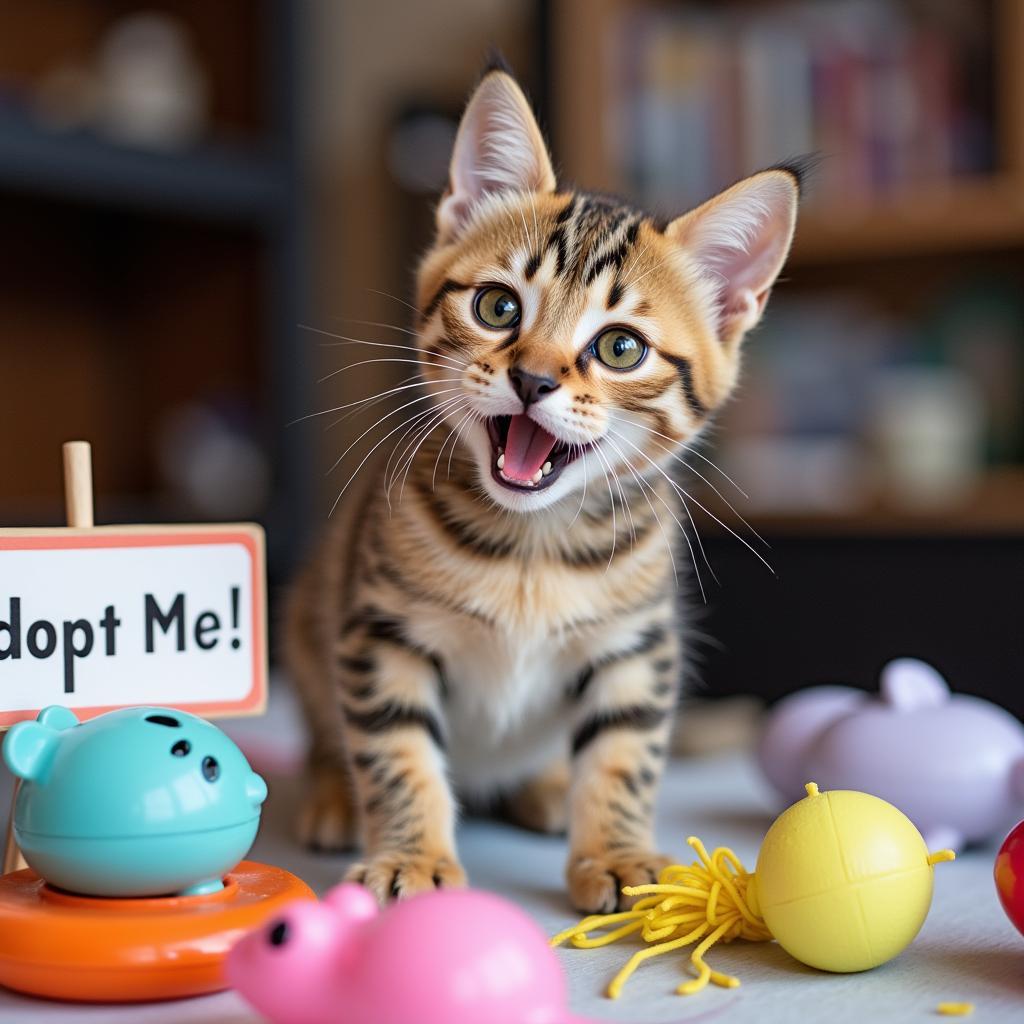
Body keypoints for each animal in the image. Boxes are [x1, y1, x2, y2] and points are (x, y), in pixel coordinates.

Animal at [288, 64, 798, 913]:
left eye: (620, 348)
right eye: (498, 307)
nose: (531, 379)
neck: (532, 540)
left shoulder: (636, 647)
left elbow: (624, 759)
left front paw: (617, 856)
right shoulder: (380, 633)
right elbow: (395, 753)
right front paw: (410, 855)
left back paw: (548, 788)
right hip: (310, 616)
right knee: (327, 731)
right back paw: (328, 791)